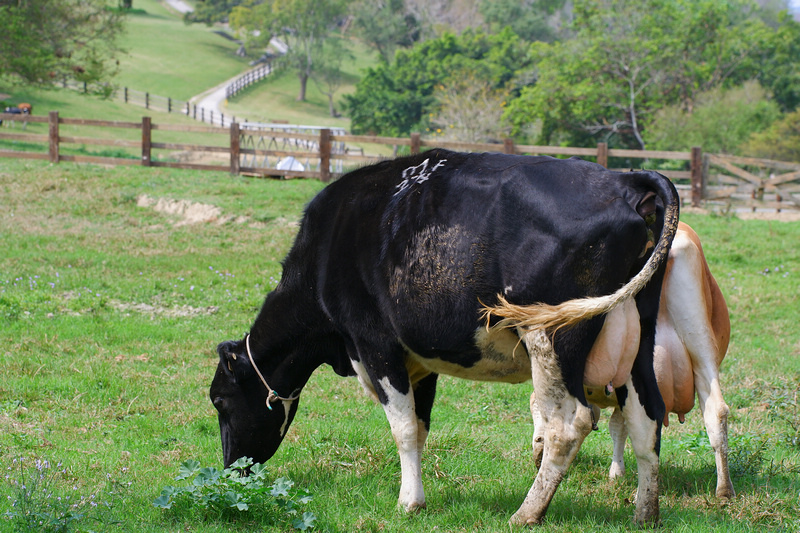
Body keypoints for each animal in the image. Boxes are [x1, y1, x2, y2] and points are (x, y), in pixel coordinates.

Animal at [209, 149, 680, 524]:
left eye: (219, 401)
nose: (231, 469)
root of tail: (623, 180)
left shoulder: (375, 344)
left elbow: (401, 428)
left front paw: (408, 503)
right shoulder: (421, 361)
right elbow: (419, 426)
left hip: (552, 335)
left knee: (568, 425)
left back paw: (527, 513)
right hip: (639, 333)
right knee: (647, 418)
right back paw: (645, 512)